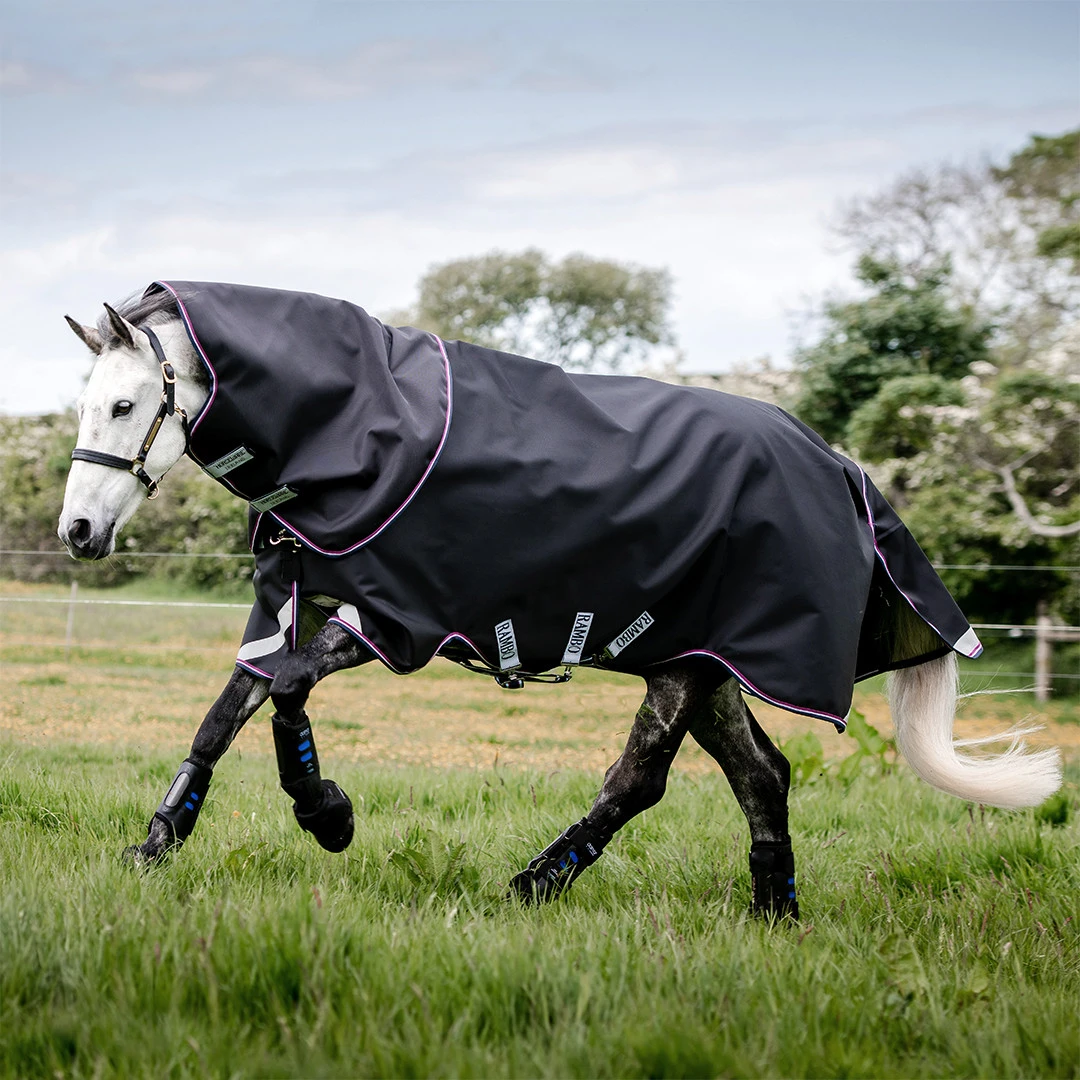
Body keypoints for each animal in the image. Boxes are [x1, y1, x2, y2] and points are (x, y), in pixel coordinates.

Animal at [57, 283, 1062, 918]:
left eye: (123, 407)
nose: (77, 532)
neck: (361, 431)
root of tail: (840, 464)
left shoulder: (395, 618)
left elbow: (285, 693)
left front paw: (327, 815)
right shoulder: (291, 600)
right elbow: (228, 708)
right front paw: (159, 842)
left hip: (687, 666)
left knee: (641, 779)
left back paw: (538, 881)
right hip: (700, 656)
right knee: (762, 776)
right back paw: (772, 914)